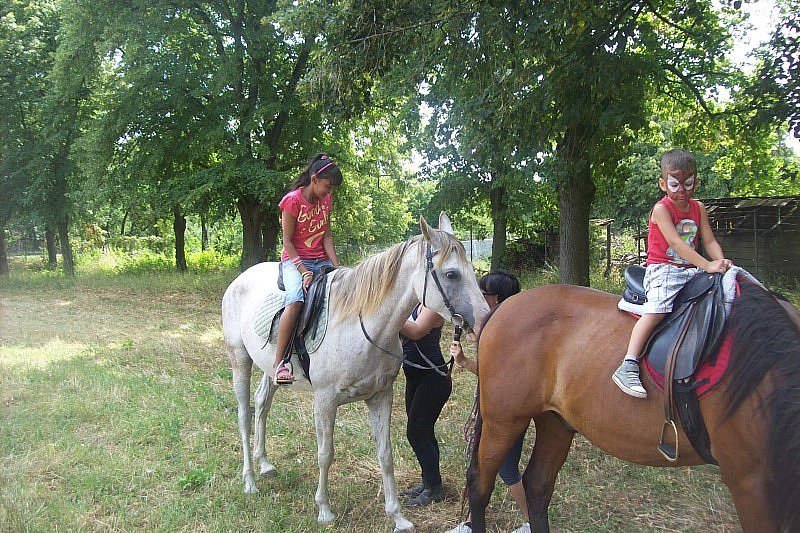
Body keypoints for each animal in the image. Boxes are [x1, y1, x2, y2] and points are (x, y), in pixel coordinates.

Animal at [221, 213, 489, 532]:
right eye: (451, 274)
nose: (485, 319)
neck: (362, 326)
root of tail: (240, 279)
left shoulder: (380, 396)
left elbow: (385, 454)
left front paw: (397, 516)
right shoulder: (325, 401)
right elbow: (325, 454)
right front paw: (324, 510)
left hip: (272, 369)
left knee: (262, 404)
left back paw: (264, 464)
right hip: (240, 360)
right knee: (244, 416)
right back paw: (249, 480)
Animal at [466, 279, 800, 532]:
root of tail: (502, 308)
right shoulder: (751, 483)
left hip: (555, 423)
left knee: (536, 487)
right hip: (503, 422)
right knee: (480, 486)